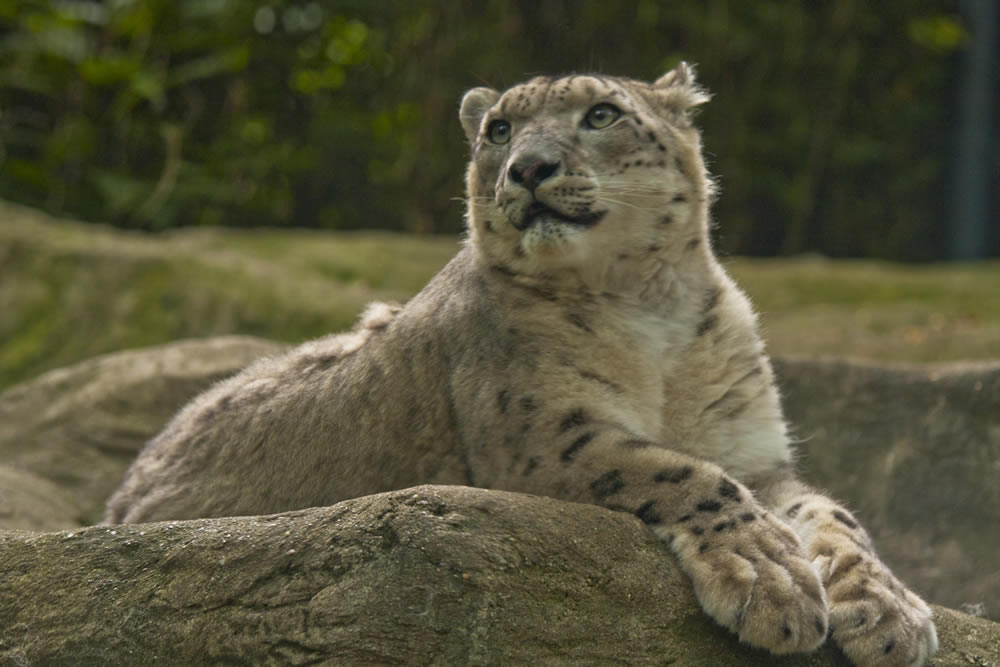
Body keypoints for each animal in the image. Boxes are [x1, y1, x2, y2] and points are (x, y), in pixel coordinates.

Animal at [105, 64, 940, 667]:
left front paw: (893, 611)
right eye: (499, 130)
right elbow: (687, 472)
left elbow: (834, 513)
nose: (528, 168)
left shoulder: (754, 449)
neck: (652, 313)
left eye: (600, 114)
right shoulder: (545, 433)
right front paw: (773, 580)